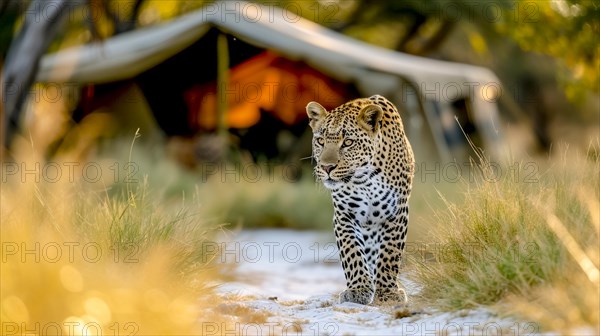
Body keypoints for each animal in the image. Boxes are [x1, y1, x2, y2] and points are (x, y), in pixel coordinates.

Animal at [308, 94, 414, 304]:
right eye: (321, 141)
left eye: (348, 142)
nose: (326, 167)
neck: (364, 179)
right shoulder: (344, 215)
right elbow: (352, 252)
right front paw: (358, 290)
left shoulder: (397, 212)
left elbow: (389, 253)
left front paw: (388, 293)